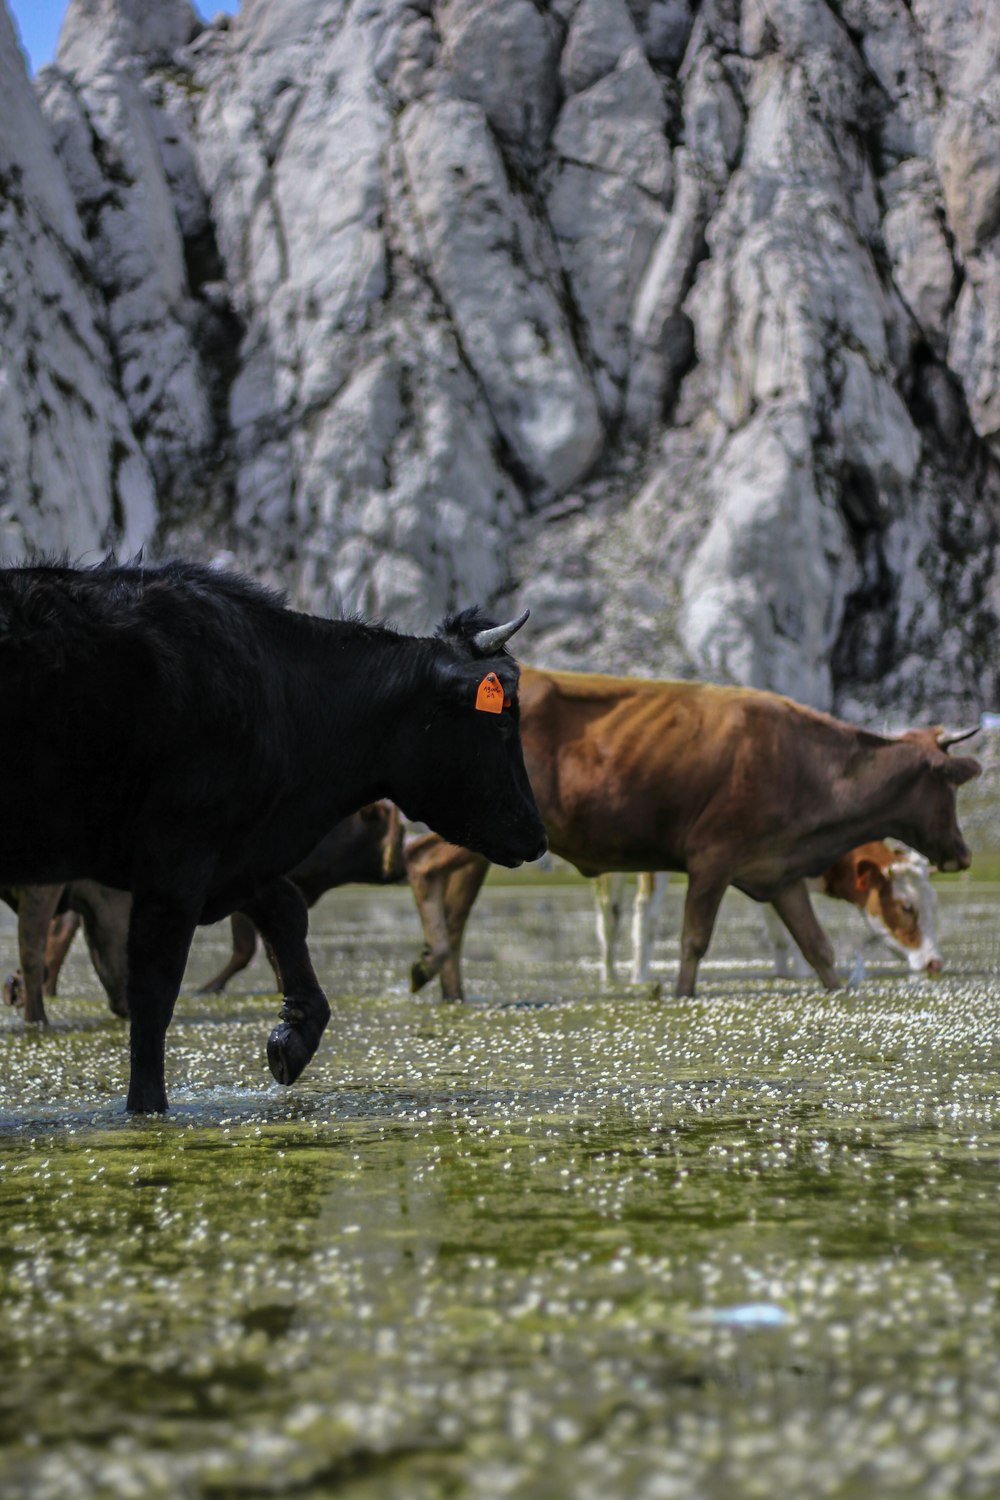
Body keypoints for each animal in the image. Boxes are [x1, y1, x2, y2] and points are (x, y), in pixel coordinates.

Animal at [0, 564, 548, 1116]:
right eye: (504, 716)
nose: (538, 834)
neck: (283, 695)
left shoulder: (239, 850)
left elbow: (285, 910)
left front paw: (296, 1036)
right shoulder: (179, 851)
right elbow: (155, 984)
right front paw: (147, 1104)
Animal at [404, 666, 977, 996]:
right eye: (906, 906)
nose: (964, 854)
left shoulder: (778, 870)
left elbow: (819, 949)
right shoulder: (713, 857)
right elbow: (694, 942)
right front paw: (681, 995)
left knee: (458, 907)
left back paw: (450, 986)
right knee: (421, 864)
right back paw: (431, 964)